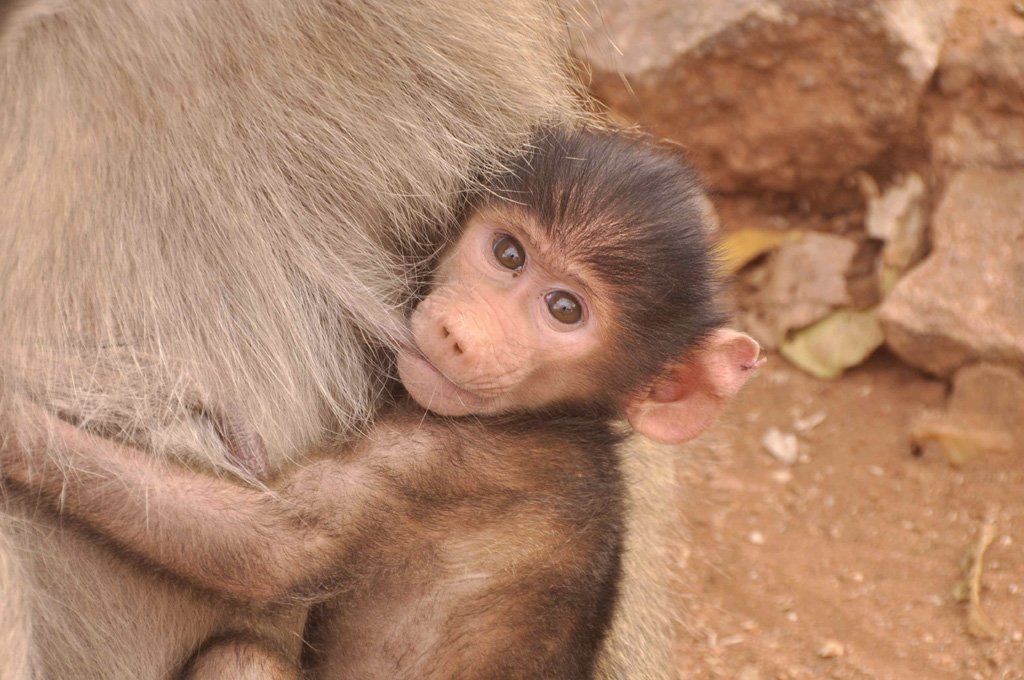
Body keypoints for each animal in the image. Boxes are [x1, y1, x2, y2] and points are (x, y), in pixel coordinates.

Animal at [0, 3, 712, 679]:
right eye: (508, 253)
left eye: (565, 309)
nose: (459, 332)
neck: (555, 419)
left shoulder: (441, 457)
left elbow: (271, 550)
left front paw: (17, 429)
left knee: (240, 656)